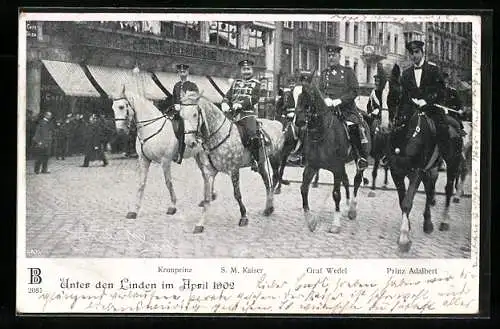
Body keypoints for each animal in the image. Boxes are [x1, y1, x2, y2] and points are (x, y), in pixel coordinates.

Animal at [111, 84, 217, 218]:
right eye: (113, 108)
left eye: (121, 106)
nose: (120, 131)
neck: (152, 127)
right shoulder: (144, 160)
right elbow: (141, 183)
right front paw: (134, 210)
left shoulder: (165, 161)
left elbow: (168, 182)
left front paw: (172, 206)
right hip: (197, 156)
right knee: (205, 174)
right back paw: (206, 198)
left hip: (204, 155)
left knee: (209, 173)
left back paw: (210, 196)